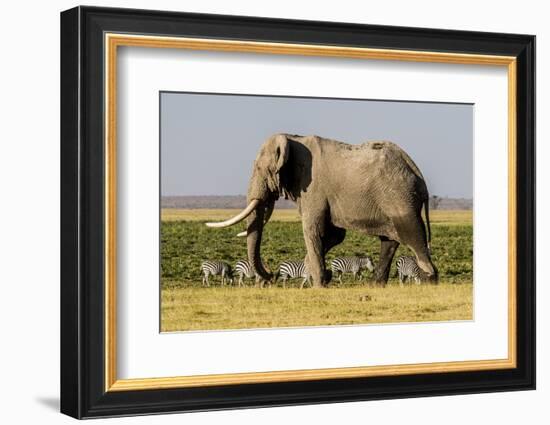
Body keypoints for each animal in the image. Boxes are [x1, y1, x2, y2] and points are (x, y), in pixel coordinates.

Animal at [207, 132, 440, 286]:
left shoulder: (313, 187)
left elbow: (313, 231)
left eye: (259, 168)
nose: (271, 276)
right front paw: (314, 275)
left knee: (413, 236)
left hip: (399, 198)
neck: (293, 139)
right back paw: (376, 285)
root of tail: (417, 173)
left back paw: (430, 281)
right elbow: (334, 235)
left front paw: (318, 284)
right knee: (389, 241)